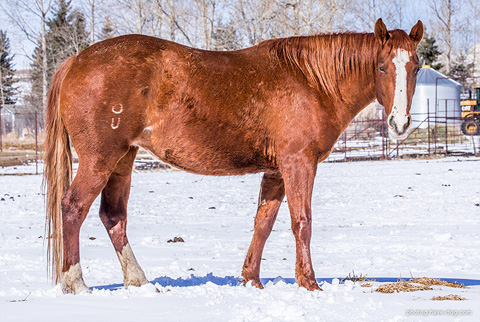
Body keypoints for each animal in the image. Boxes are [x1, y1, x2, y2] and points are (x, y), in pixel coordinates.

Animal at [43, 18, 422, 294]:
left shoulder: (276, 171)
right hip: (100, 159)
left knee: (113, 216)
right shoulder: (298, 164)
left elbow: (263, 223)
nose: (399, 123)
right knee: (73, 207)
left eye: (416, 67)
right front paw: (309, 283)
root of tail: (76, 60)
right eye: (382, 66)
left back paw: (138, 281)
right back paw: (76, 283)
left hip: (123, 158)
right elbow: (302, 223)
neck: (312, 81)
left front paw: (251, 279)